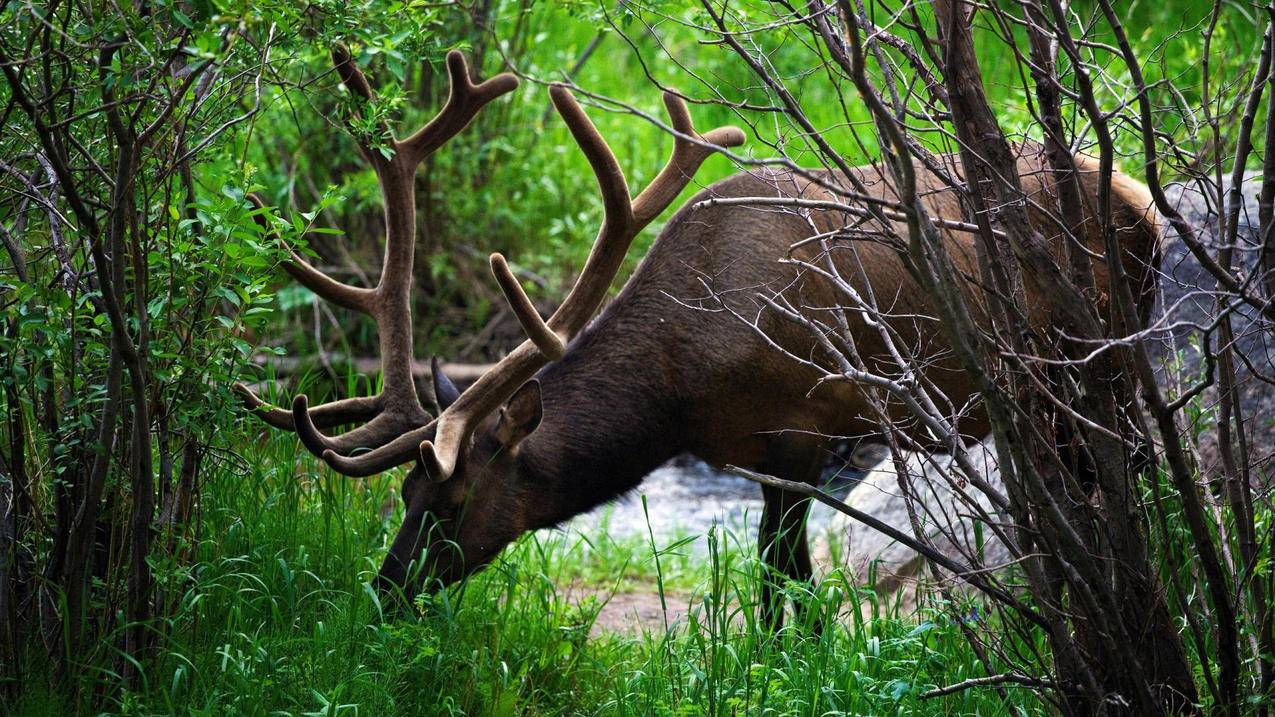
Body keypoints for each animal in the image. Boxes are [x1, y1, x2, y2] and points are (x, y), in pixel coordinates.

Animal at [234, 47, 1162, 622]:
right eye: (403, 494)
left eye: (453, 501)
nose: (385, 593)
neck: (681, 391)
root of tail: (1140, 199)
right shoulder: (750, 450)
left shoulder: (801, 425)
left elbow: (782, 578)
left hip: (1097, 362)